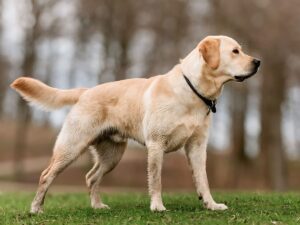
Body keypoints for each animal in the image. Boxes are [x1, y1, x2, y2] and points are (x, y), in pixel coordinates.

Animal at [11, 34, 260, 213]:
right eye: (235, 51)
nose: (258, 62)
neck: (193, 92)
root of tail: (85, 91)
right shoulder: (156, 144)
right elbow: (156, 180)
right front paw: (157, 206)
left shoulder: (198, 147)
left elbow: (203, 180)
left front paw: (211, 205)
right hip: (71, 147)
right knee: (46, 175)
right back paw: (36, 209)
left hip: (112, 155)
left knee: (91, 177)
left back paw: (97, 206)